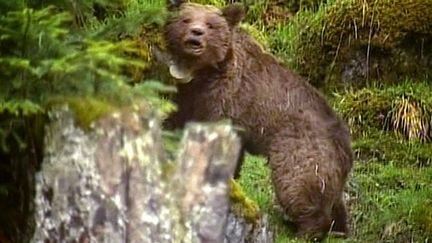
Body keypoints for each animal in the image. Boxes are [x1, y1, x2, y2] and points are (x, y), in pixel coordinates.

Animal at [164, 0, 352, 239]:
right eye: (186, 19)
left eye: (210, 24)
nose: (196, 33)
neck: (201, 73)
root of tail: (345, 141)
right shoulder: (190, 95)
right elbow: (177, 117)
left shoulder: (224, 99)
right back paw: (339, 229)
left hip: (301, 149)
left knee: (298, 184)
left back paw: (304, 230)